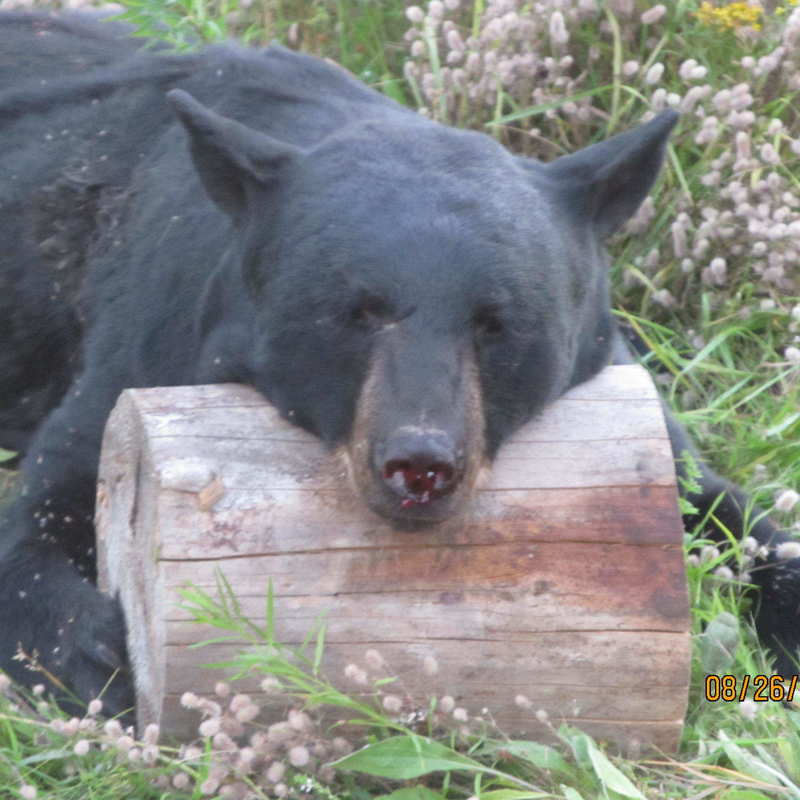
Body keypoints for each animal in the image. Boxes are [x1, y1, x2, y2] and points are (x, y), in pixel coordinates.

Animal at [1, 11, 798, 718]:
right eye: (359, 311)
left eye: (497, 322)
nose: (421, 463)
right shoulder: (140, 341)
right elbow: (44, 507)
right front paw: (96, 660)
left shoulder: (622, 390)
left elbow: (721, 502)